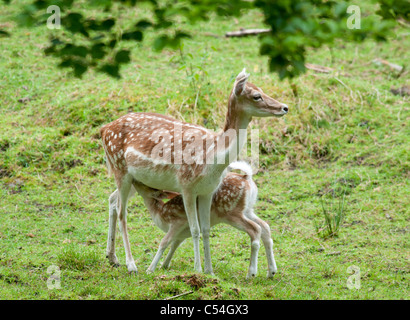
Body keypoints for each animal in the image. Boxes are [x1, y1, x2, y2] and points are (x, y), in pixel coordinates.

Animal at [101, 69, 288, 274]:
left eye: (261, 89)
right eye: (256, 96)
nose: (285, 107)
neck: (213, 158)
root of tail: (103, 129)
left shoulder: (207, 191)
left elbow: (206, 230)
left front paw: (210, 271)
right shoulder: (187, 186)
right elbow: (194, 229)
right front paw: (198, 269)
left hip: (138, 179)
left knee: (112, 200)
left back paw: (112, 257)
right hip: (120, 169)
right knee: (122, 213)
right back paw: (131, 264)